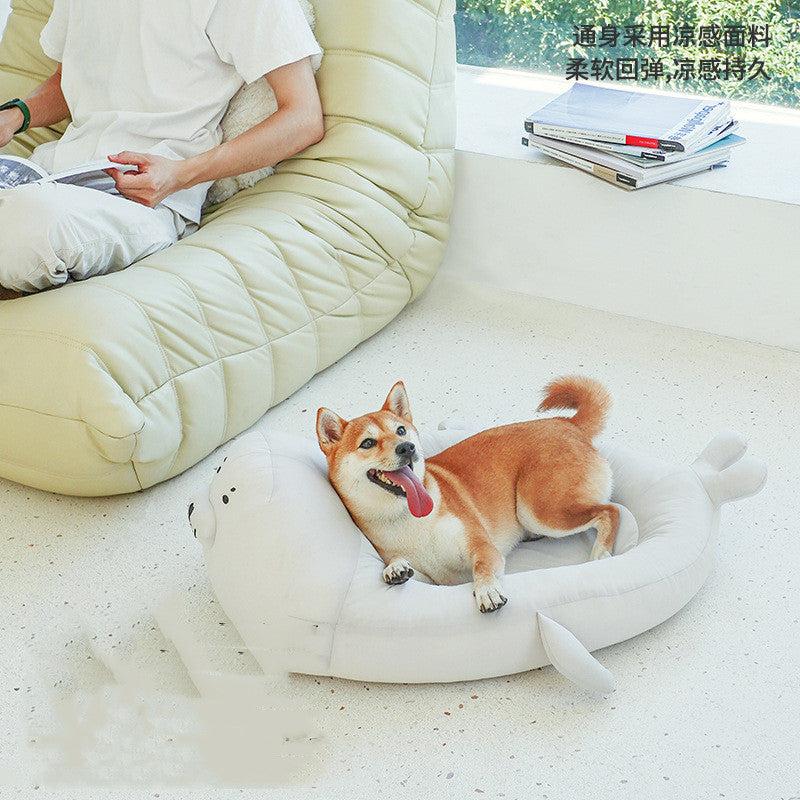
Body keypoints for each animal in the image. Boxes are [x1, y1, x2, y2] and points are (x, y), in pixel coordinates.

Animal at [316, 376, 616, 612]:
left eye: (400, 430)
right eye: (367, 443)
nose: (406, 447)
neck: (408, 518)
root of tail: (566, 423)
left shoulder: (481, 546)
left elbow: (481, 567)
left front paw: (487, 590)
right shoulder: (430, 579)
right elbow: (399, 565)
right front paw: (394, 568)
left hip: (539, 510)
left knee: (610, 511)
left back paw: (601, 552)